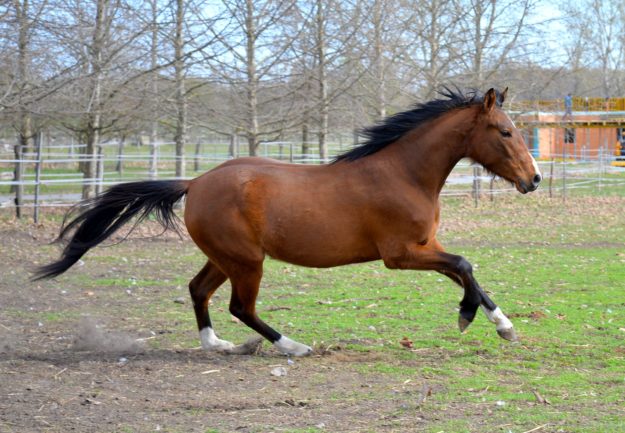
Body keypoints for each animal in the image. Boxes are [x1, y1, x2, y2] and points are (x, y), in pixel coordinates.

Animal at [36, 87, 540, 354]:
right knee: (241, 307)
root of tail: (194, 182)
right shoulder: (401, 255)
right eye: (505, 131)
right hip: (247, 261)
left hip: (226, 257)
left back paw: (218, 346)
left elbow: (466, 273)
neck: (403, 173)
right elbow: (464, 266)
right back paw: (292, 346)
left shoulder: (424, 248)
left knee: (199, 291)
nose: (533, 180)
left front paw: (502, 324)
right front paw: (470, 318)